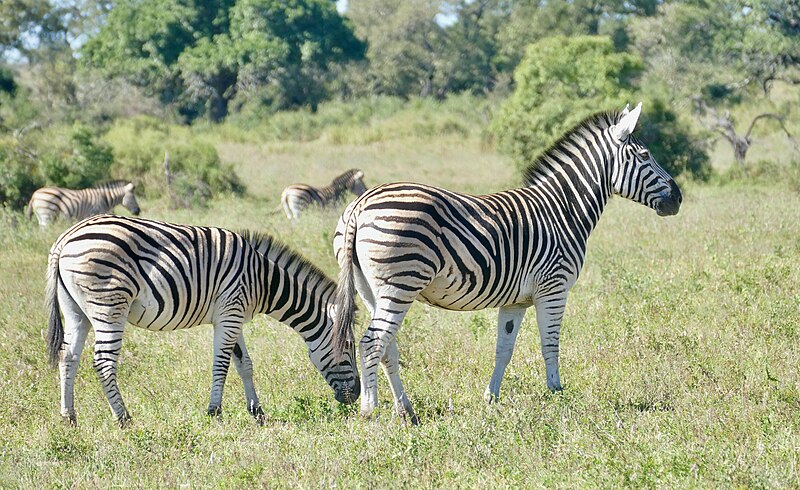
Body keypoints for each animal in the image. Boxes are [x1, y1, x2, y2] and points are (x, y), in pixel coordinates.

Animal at [43, 214, 356, 424]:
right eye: (348, 347)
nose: (354, 399)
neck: (263, 279)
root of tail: (64, 238)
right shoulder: (230, 312)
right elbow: (222, 365)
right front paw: (215, 412)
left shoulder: (233, 315)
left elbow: (245, 364)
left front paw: (258, 413)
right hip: (109, 305)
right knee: (104, 362)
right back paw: (124, 419)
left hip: (76, 310)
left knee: (68, 357)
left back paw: (69, 418)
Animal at [332, 102, 680, 422]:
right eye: (645, 156)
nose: (678, 199)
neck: (564, 209)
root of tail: (361, 204)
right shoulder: (554, 288)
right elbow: (550, 343)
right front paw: (557, 394)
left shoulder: (516, 301)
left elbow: (504, 349)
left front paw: (491, 398)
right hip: (401, 283)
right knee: (372, 343)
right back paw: (370, 412)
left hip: (371, 289)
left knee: (387, 346)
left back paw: (406, 410)